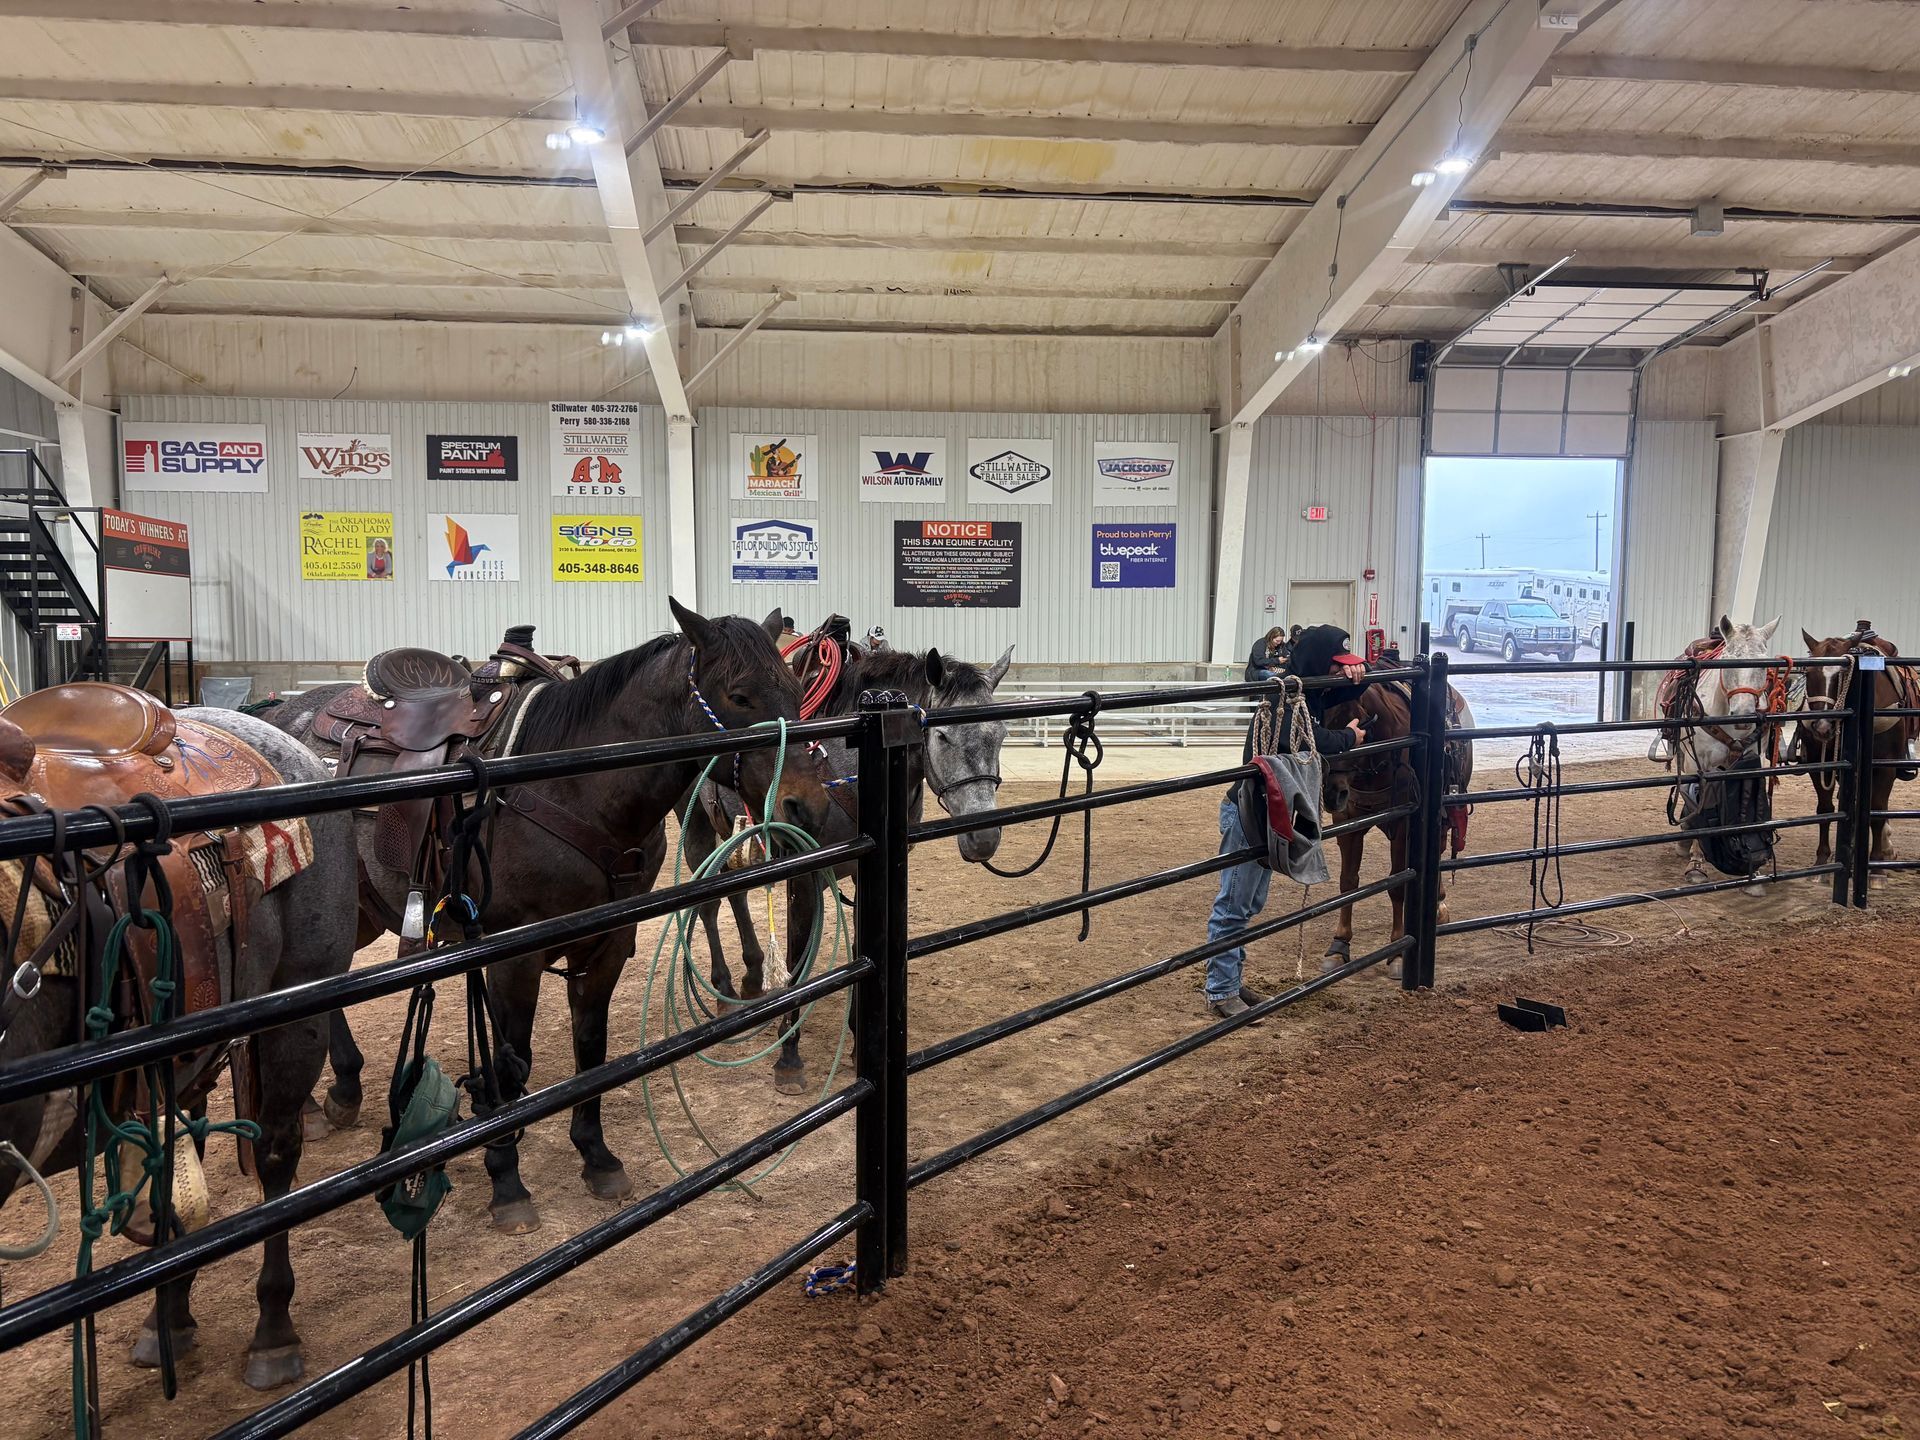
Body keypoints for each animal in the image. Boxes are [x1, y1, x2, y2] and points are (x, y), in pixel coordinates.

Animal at [268, 601, 831, 1233]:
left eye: (796, 689)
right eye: (738, 695)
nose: (805, 805)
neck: (574, 788)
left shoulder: (607, 945)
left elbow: (591, 1049)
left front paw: (596, 1155)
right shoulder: (515, 958)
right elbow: (512, 1065)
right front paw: (507, 1183)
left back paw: (339, 1090)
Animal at [678, 637, 1014, 1093]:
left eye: (1000, 734)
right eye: (943, 735)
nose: (984, 839)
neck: (848, 765)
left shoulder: (863, 869)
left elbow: (859, 948)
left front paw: (857, 1042)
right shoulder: (802, 874)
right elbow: (798, 957)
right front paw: (789, 1056)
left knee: (736, 893)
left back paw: (750, 979)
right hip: (695, 823)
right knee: (711, 903)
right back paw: (725, 989)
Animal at [1318, 674, 1474, 969]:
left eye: (1360, 724)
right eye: (1323, 720)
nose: (1332, 792)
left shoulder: (1403, 825)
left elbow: (1398, 884)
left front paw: (1398, 951)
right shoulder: (1347, 820)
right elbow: (1348, 882)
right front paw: (1339, 944)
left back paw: (1438, 905)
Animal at [1794, 629, 1920, 875]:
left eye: (1843, 676)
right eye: (1809, 673)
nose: (1822, 726)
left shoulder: (1884, 767)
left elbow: (1877, 812)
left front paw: (1877, 867)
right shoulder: (1820, 764)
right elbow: (1826, 809)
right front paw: (1823, 862)